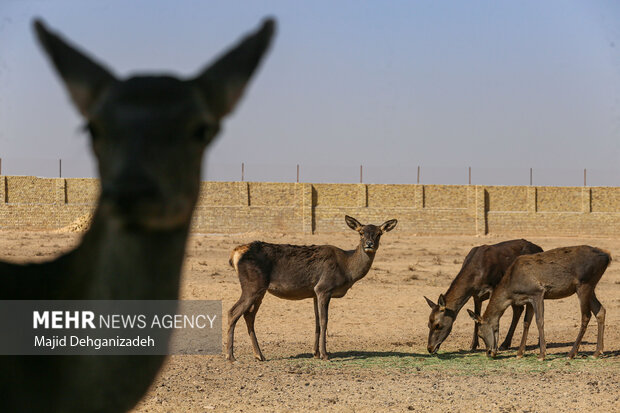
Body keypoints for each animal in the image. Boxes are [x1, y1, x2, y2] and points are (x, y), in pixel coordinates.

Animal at [226, 216, 398, 360]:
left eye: (379, 234)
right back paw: (231, 356)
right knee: (233, 312)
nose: (369, 244)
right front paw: (325, 354)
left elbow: (316, 322)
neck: (347, 270)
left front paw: (315, 353)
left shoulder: (314, 292)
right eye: (361, 233)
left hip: (260, 289)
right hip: (252, 285)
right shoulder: (324, 287)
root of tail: (235, 254)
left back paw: (259, 355)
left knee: (249, 315)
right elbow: (324, 320)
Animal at [470, 246, 612, 358]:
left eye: (480, 333)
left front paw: (542, 354)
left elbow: (539, 321)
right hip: (590, 286)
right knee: (600, 311)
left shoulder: (537, 292)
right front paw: (520, 353)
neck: (511, 289)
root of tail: (607, 257)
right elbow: (526, 322)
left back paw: (571, 353)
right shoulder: (528, 299)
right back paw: (597, 352)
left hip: (584, 284)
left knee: (586, 316)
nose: (489, 353)